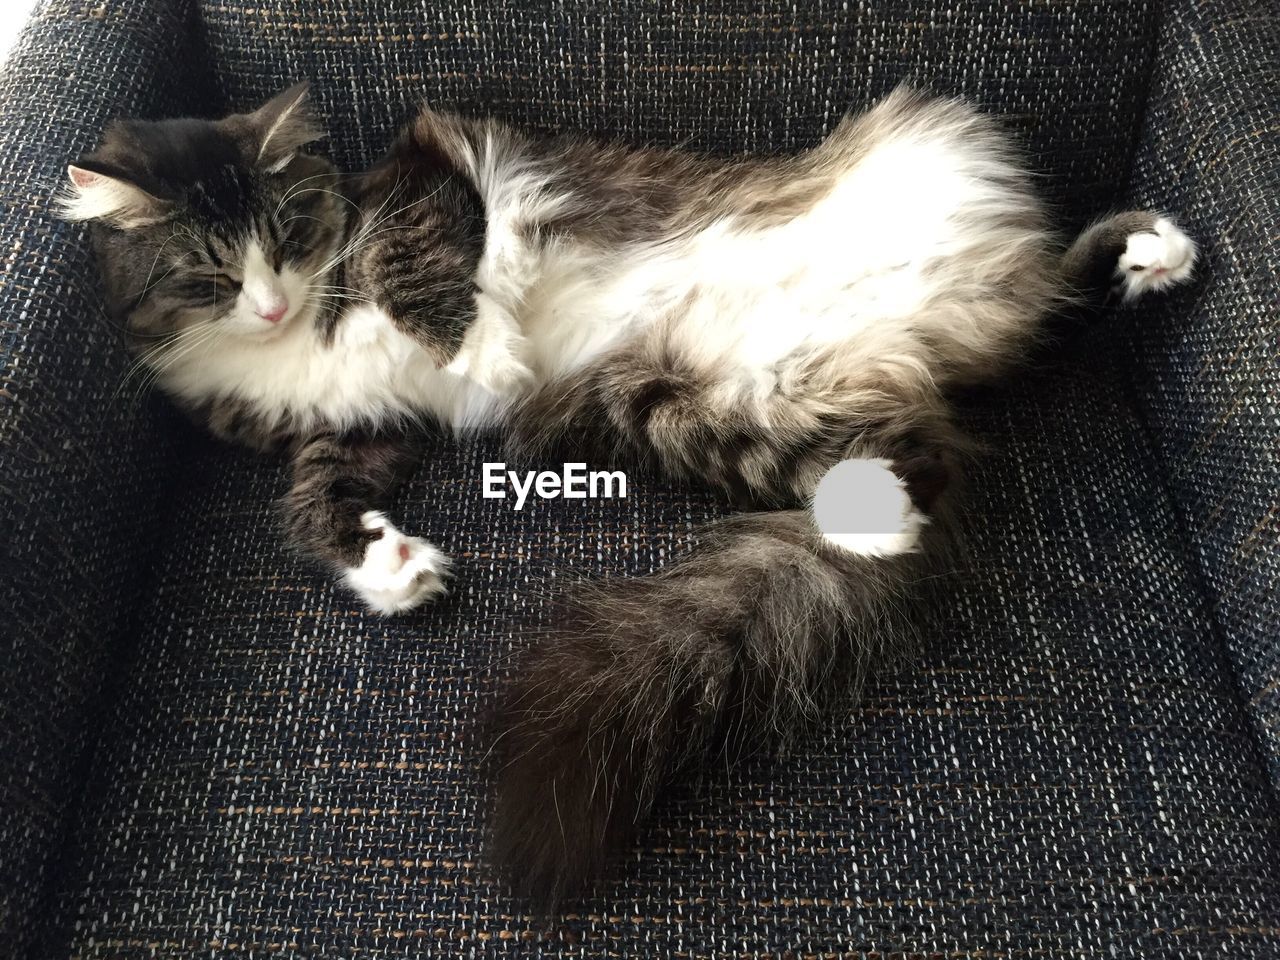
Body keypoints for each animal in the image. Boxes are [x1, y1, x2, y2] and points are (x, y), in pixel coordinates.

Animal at [62, 82, 1198, 911]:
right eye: (211, 273)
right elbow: (310, 507)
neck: (292, 342)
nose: (271, 301)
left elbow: (411, 264)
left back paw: (1152, 250)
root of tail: (917, 352)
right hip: (695, 408)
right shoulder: (361, 433)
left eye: (292, 234)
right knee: (940, 434)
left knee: (1051, 310)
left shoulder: (427, 176)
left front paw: (482, 350)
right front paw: (387, 567)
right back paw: (881, 515)